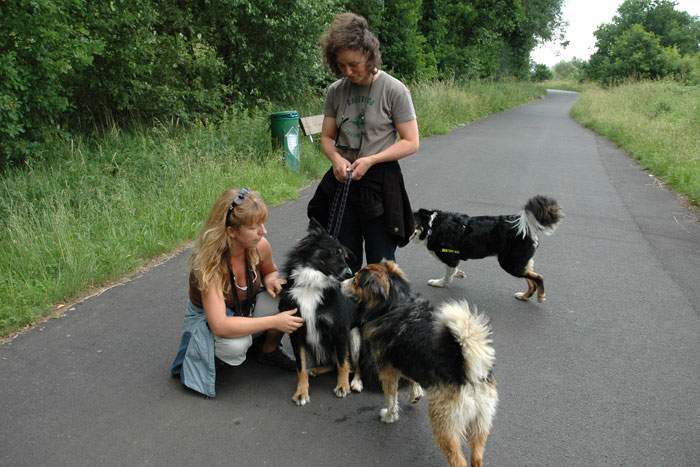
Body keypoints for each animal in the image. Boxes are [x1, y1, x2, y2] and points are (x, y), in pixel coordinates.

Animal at [278, 219, 366, 406]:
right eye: (335, 252)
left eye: (345, 256)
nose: (350, 273)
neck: (311, 285)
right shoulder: (296, 330)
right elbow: (301, 366)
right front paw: (301, 392)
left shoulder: (340, 329)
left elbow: (343, 361)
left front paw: (342, 386)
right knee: (332, 363)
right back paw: (316, 370)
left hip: (355, 334)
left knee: (354, 364)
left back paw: (355, 381)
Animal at [340, 262, 498, 467]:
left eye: (356, 281)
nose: (341, 282)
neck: (396, 303)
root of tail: (468, 371)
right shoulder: (406, 359)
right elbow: (411, 376)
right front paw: (415, 394)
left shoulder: (387, 370)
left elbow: (391, 399)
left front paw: (389, 417)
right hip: (480, 424)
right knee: (477, 458)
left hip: (444, 421)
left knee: (458, 460)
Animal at [412, 196, 560, 302]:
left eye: (413, 223)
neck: (432, 227)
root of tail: (525, 226)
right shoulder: (453, 260)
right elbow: (453, 271)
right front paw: (459, 274)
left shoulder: (450, 258)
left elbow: (447, 276)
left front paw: (439, 283)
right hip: (519, 262)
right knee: (532, 282)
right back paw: (523, 296)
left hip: (510, 264)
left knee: (538, 278)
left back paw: (540, 296)